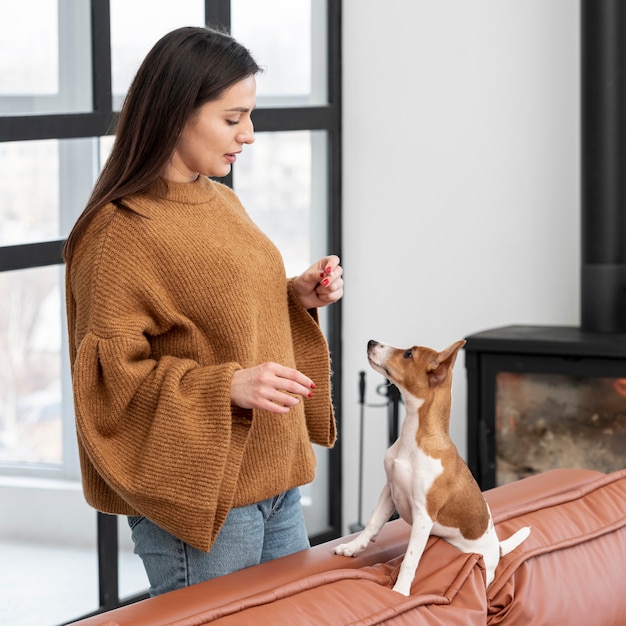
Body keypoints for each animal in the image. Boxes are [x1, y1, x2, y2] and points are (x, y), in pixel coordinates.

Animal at [332, 338, 528, 592]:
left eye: (408, 354)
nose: (371, 342)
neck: (414, 438)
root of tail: (498, 548)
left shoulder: (423, 517)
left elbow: (410, 558)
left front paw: (400, 591)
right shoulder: (389, 491)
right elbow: (372, 524)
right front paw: (352, 547)